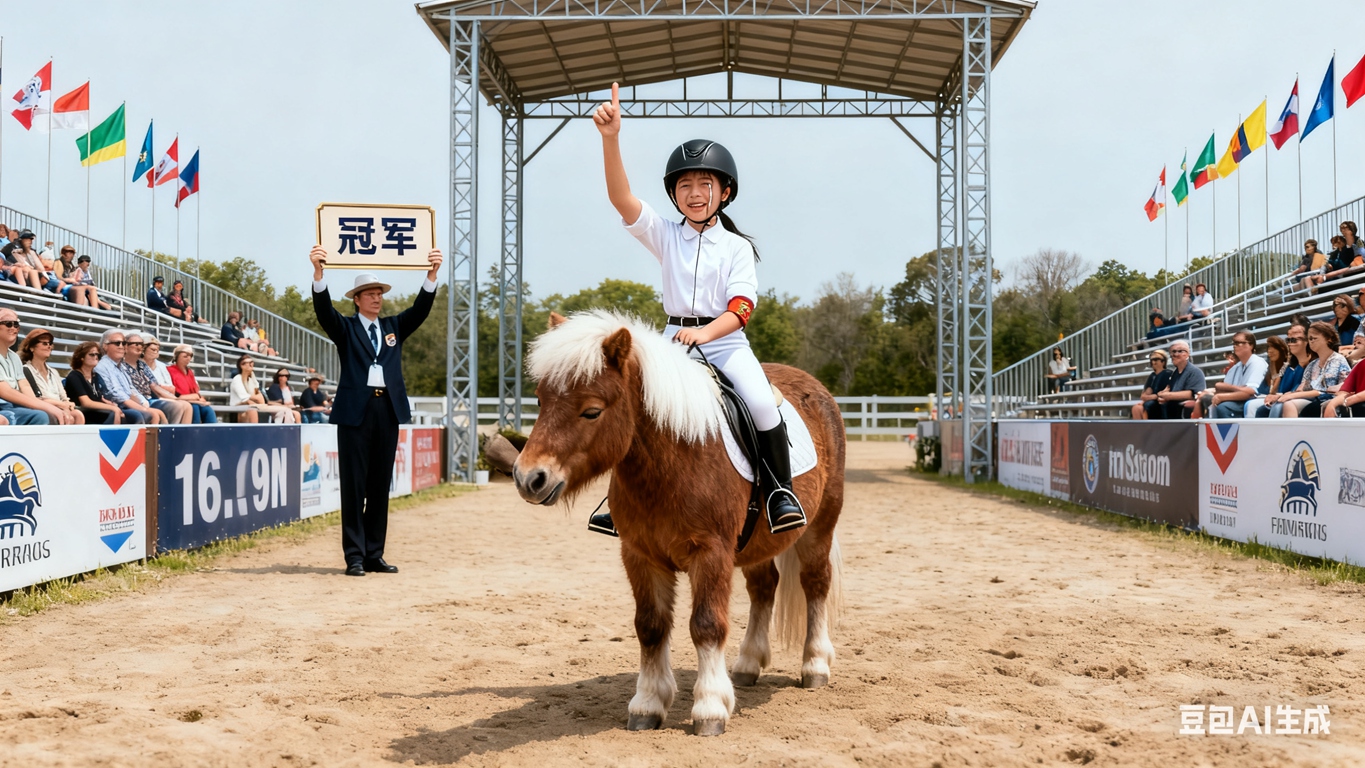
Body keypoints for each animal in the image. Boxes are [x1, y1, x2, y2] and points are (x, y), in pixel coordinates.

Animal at [510, 310, 845, 736]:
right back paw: (748, 664)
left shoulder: (711, 553)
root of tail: (816, 388)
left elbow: (707, 625)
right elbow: (650, 626)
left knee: (815, 583)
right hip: (756, 543)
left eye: (592, 411)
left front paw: (710, 708)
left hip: (821, 526)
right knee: (763, 588)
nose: (529, 478)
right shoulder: (640, 554)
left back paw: (814, 665)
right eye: (540, 400)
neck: (675, 456)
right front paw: (648, 704)